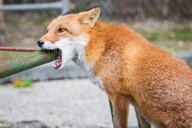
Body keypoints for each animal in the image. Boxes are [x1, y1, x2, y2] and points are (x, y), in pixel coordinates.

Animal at [38, 7, 192, 128]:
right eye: (48, 30)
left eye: (61, 30)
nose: (39, 42)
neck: (101, 47)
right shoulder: (135, 103)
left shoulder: (118, 97)